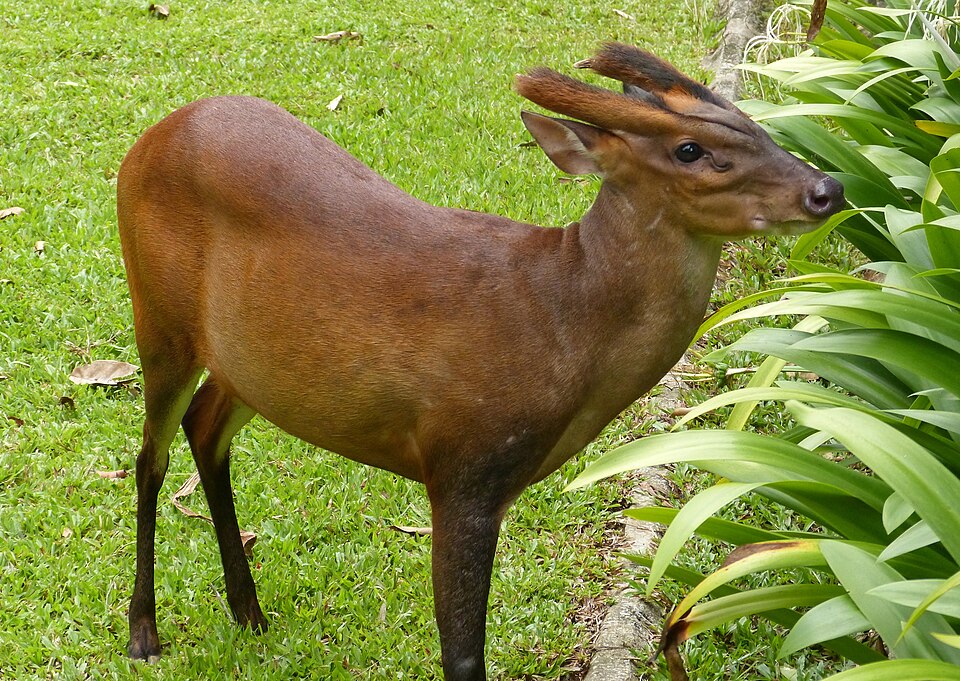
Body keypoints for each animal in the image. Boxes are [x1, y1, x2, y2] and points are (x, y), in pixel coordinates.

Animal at [117, 43, 843, 680]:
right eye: (691, 149)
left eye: (752, 123)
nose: (828, 188)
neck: (560, 321)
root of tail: (145, 142)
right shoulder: (462, 465)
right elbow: (463, 652)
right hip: (159, 314)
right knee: (150, 455)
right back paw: (143, 632)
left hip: (250, 364)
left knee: (204, 427)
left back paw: (249, 611)